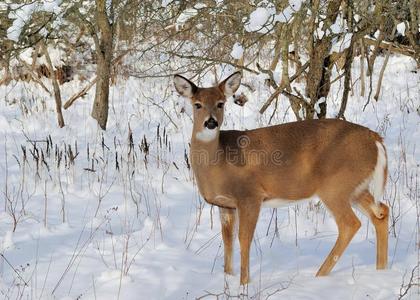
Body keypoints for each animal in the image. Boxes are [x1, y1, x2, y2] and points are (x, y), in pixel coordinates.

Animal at [172, 71, 388, 284]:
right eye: (197, 104)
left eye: (221, 103)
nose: (211, 122)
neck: (219, 163)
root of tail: (375, 139)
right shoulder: (225, 205)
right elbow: (227, 240)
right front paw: (227, 278)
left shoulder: (250, 196)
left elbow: (244, 239)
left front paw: (244, 284)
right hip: (355, 187)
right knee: (381, 212)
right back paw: (381, 270)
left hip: (335, 186)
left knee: (350, 223)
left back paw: (319, 276)